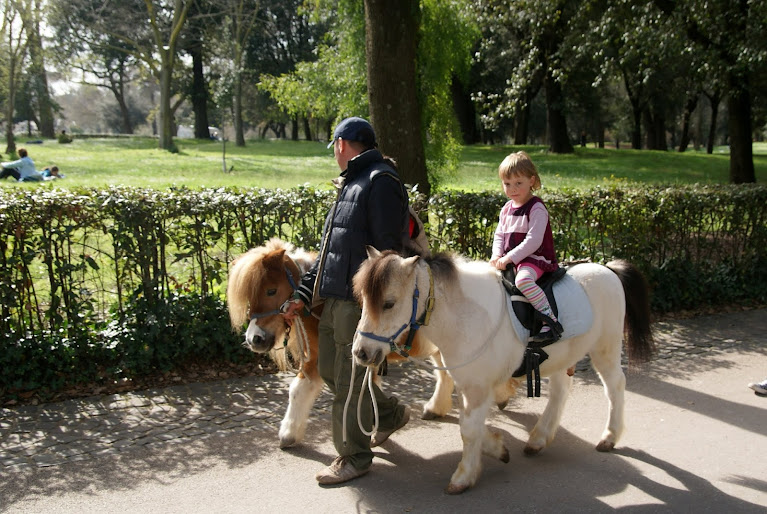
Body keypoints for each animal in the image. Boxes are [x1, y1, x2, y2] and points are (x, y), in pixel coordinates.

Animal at [228, 238, 456, 446]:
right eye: (250, 295)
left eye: (271, 291)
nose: (254, 339)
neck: (321, 305)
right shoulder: (320, 358)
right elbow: (299, 389)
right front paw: (289, 434)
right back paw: (435, 408)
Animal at [352, 248, 656, 492]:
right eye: (363, 300)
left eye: (389, 303)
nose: (361, 353)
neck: (464, 316)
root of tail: (608, 269)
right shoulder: (470, 384)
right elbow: (470, 425)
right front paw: (497, 448)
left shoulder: (477, 388)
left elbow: (468, 429)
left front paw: (463, 477)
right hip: (564, 355)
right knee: (561, 390)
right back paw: (538, 439)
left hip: (605, 348)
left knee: (615, 385)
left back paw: (609, 436)